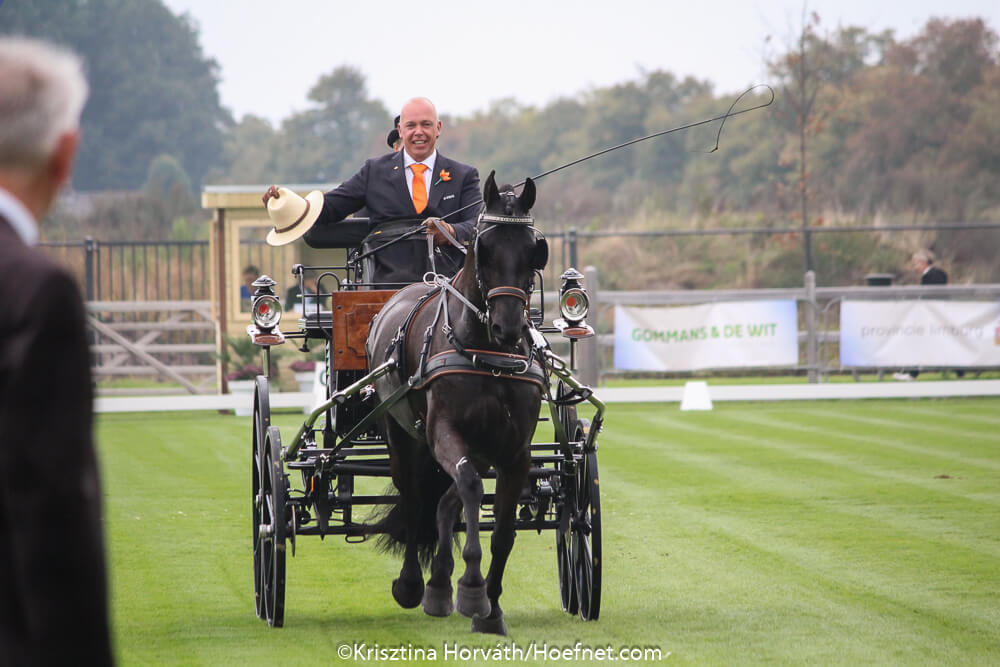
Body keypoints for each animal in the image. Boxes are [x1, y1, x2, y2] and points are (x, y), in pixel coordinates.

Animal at [364, 170, 548, 636]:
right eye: (485, 248)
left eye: (533, 250)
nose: (508, 327)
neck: (488, 354)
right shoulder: (445, 432)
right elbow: (468, 489)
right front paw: (468, 587)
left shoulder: (514, 451)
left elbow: (502, 529)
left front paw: (491, 608)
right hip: (403, 436)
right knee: (416, 500)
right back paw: (416, 584)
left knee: (444, 503)